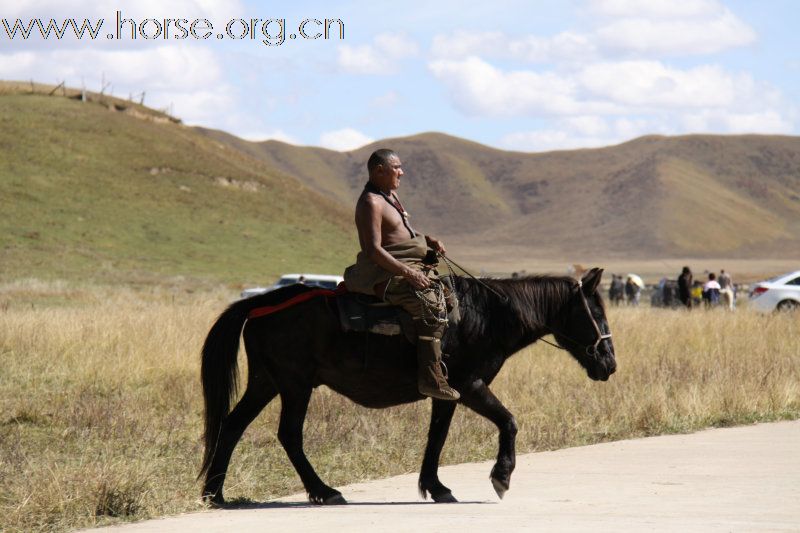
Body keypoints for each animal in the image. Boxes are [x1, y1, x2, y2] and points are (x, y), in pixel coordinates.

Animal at [197, 266, 616, 502]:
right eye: (596, 312)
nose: (609, 364)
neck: (486, 316)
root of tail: (260, 304)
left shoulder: (448, 393)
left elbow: (437, 436)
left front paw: (436, 486)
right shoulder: (470, 385)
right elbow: (508, 422)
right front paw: (501, 477)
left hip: (266, 382)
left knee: (232, 425)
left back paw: (215, 493)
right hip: (295, 385)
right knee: (288, 435)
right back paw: (324, 491)